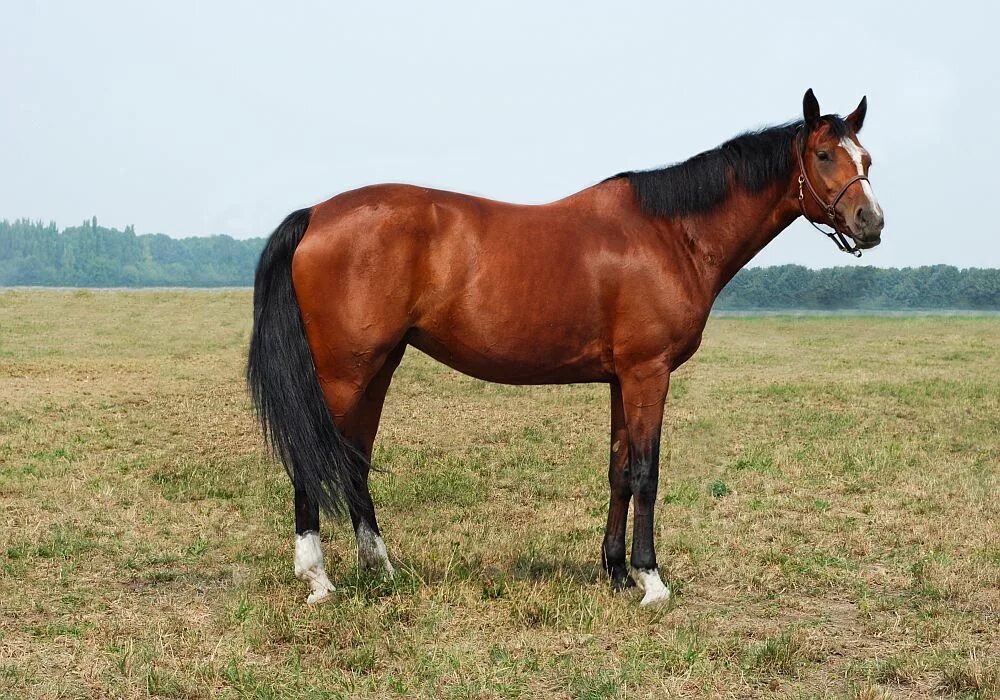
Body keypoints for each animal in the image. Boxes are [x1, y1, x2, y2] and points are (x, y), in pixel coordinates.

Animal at [248, 89, 884, 608]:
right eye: (824, 155)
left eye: (868, 159)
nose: (871, 222)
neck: (669, 233)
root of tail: (314, 215)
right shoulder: (648, 372)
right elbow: (647, 471)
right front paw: (652, 581)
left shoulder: (622, 379)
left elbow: (619, 470)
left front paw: (617, 573)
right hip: (342, 372)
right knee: (312, 457)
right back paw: (319, 579)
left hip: (378, 366)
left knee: (352, 458)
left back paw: (380, 568)